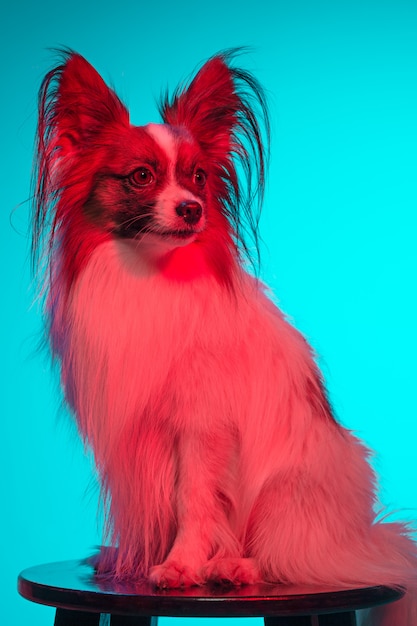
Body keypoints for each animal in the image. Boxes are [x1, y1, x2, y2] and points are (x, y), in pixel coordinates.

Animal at [33, 50, 416, 624]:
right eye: (141, 177)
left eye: (198, 177)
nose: (192, 208)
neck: (151, 274)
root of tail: (363, 539)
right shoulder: (130, 435)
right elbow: (147, 509)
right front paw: (128, 560)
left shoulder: (201, 427)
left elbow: (194, 500)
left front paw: (180, 565)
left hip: (288, 494)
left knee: (297, 558)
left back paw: (236, 567)